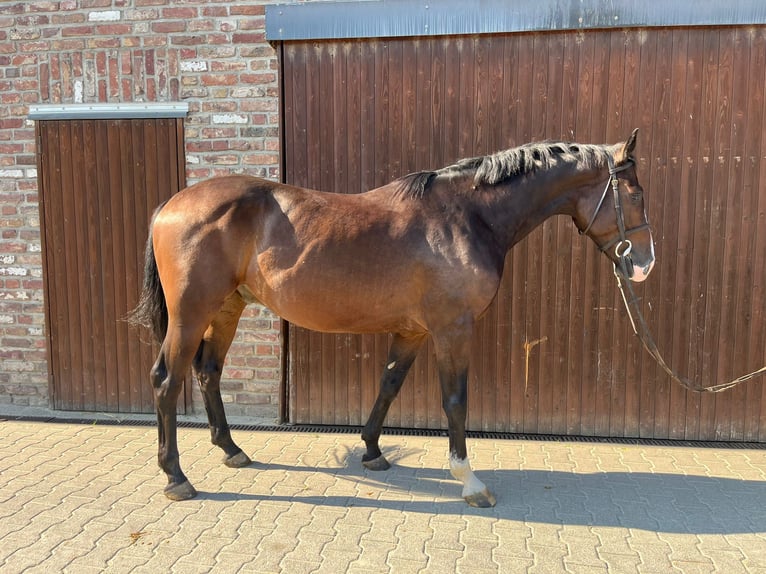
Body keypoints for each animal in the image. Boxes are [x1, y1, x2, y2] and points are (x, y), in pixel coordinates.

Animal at [130, 129, 656, 508]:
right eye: (635, 196)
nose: (643, 264)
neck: (465, 217)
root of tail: (170, 205)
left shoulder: (413, 331)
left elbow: (388, 384)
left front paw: (372, 452)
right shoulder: (453, 329)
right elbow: (455, 401)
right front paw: (469, 481)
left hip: (227, 308)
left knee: (208, 372)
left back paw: (232, 450)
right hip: (190, 314)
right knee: (166, 379)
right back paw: (176, 476)